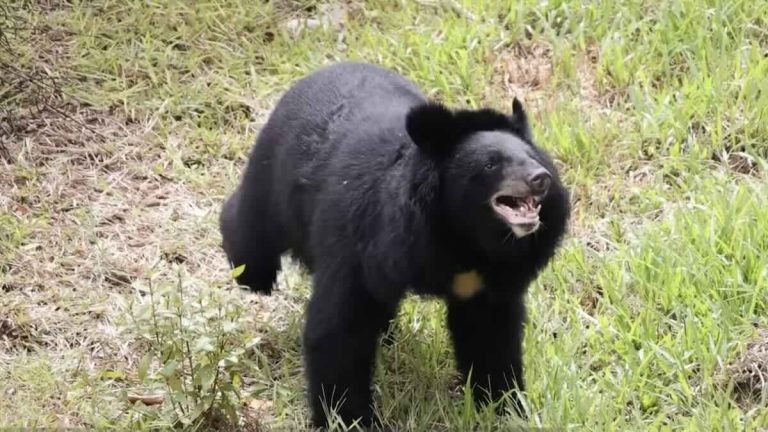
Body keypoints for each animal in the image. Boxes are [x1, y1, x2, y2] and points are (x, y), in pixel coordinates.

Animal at [219, 62, 570, 428]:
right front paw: (346, 418)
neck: (465, 238)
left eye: (531, 156)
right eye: (491, 163)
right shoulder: (363, 243)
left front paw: (503, 406)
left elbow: (489, 334)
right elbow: (340, 328)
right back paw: (253, 279)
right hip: (273, 174)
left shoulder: (490, 278)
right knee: (252, 226)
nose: (540, 178)